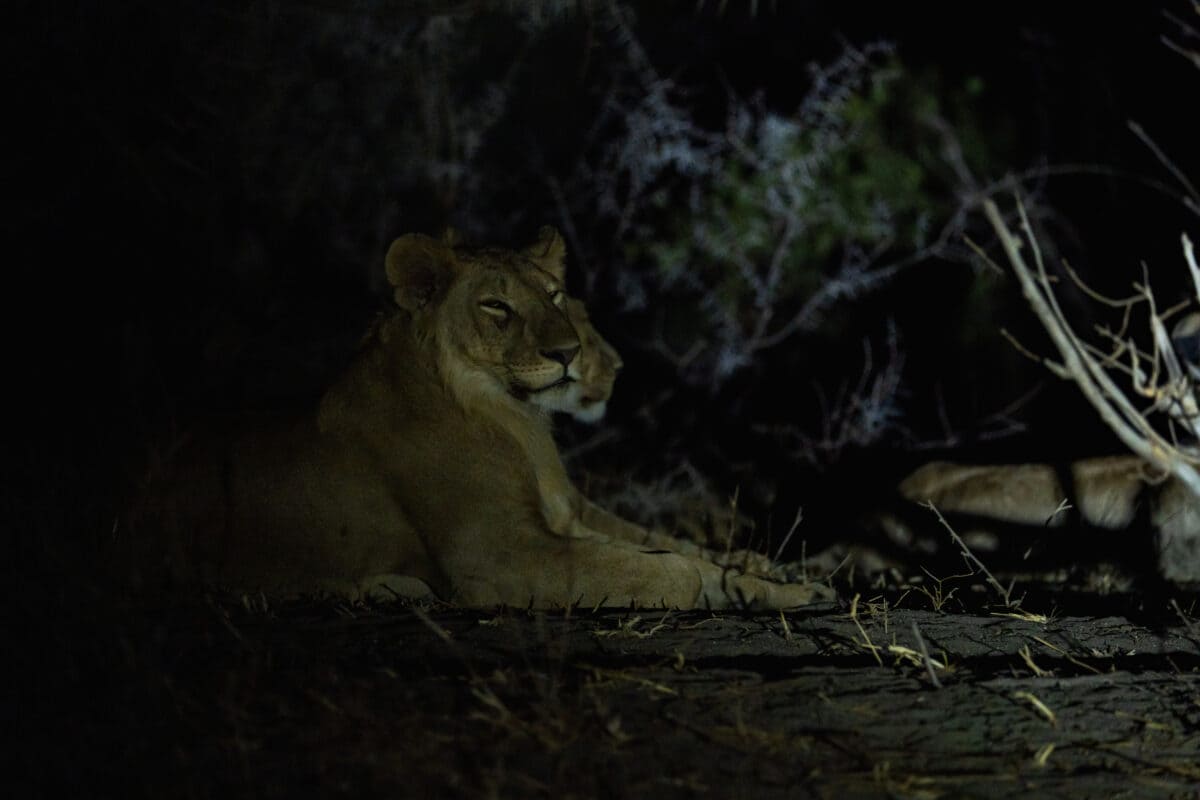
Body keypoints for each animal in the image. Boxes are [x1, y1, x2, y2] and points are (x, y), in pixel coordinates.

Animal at [125, 228, 820, 608]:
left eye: (554, 294)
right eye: (495, 307)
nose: (571, 355)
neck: (516, 420)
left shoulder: (569, 515)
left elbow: (686, 550)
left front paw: (784, 583)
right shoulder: (499, 556)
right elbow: (668, 568)